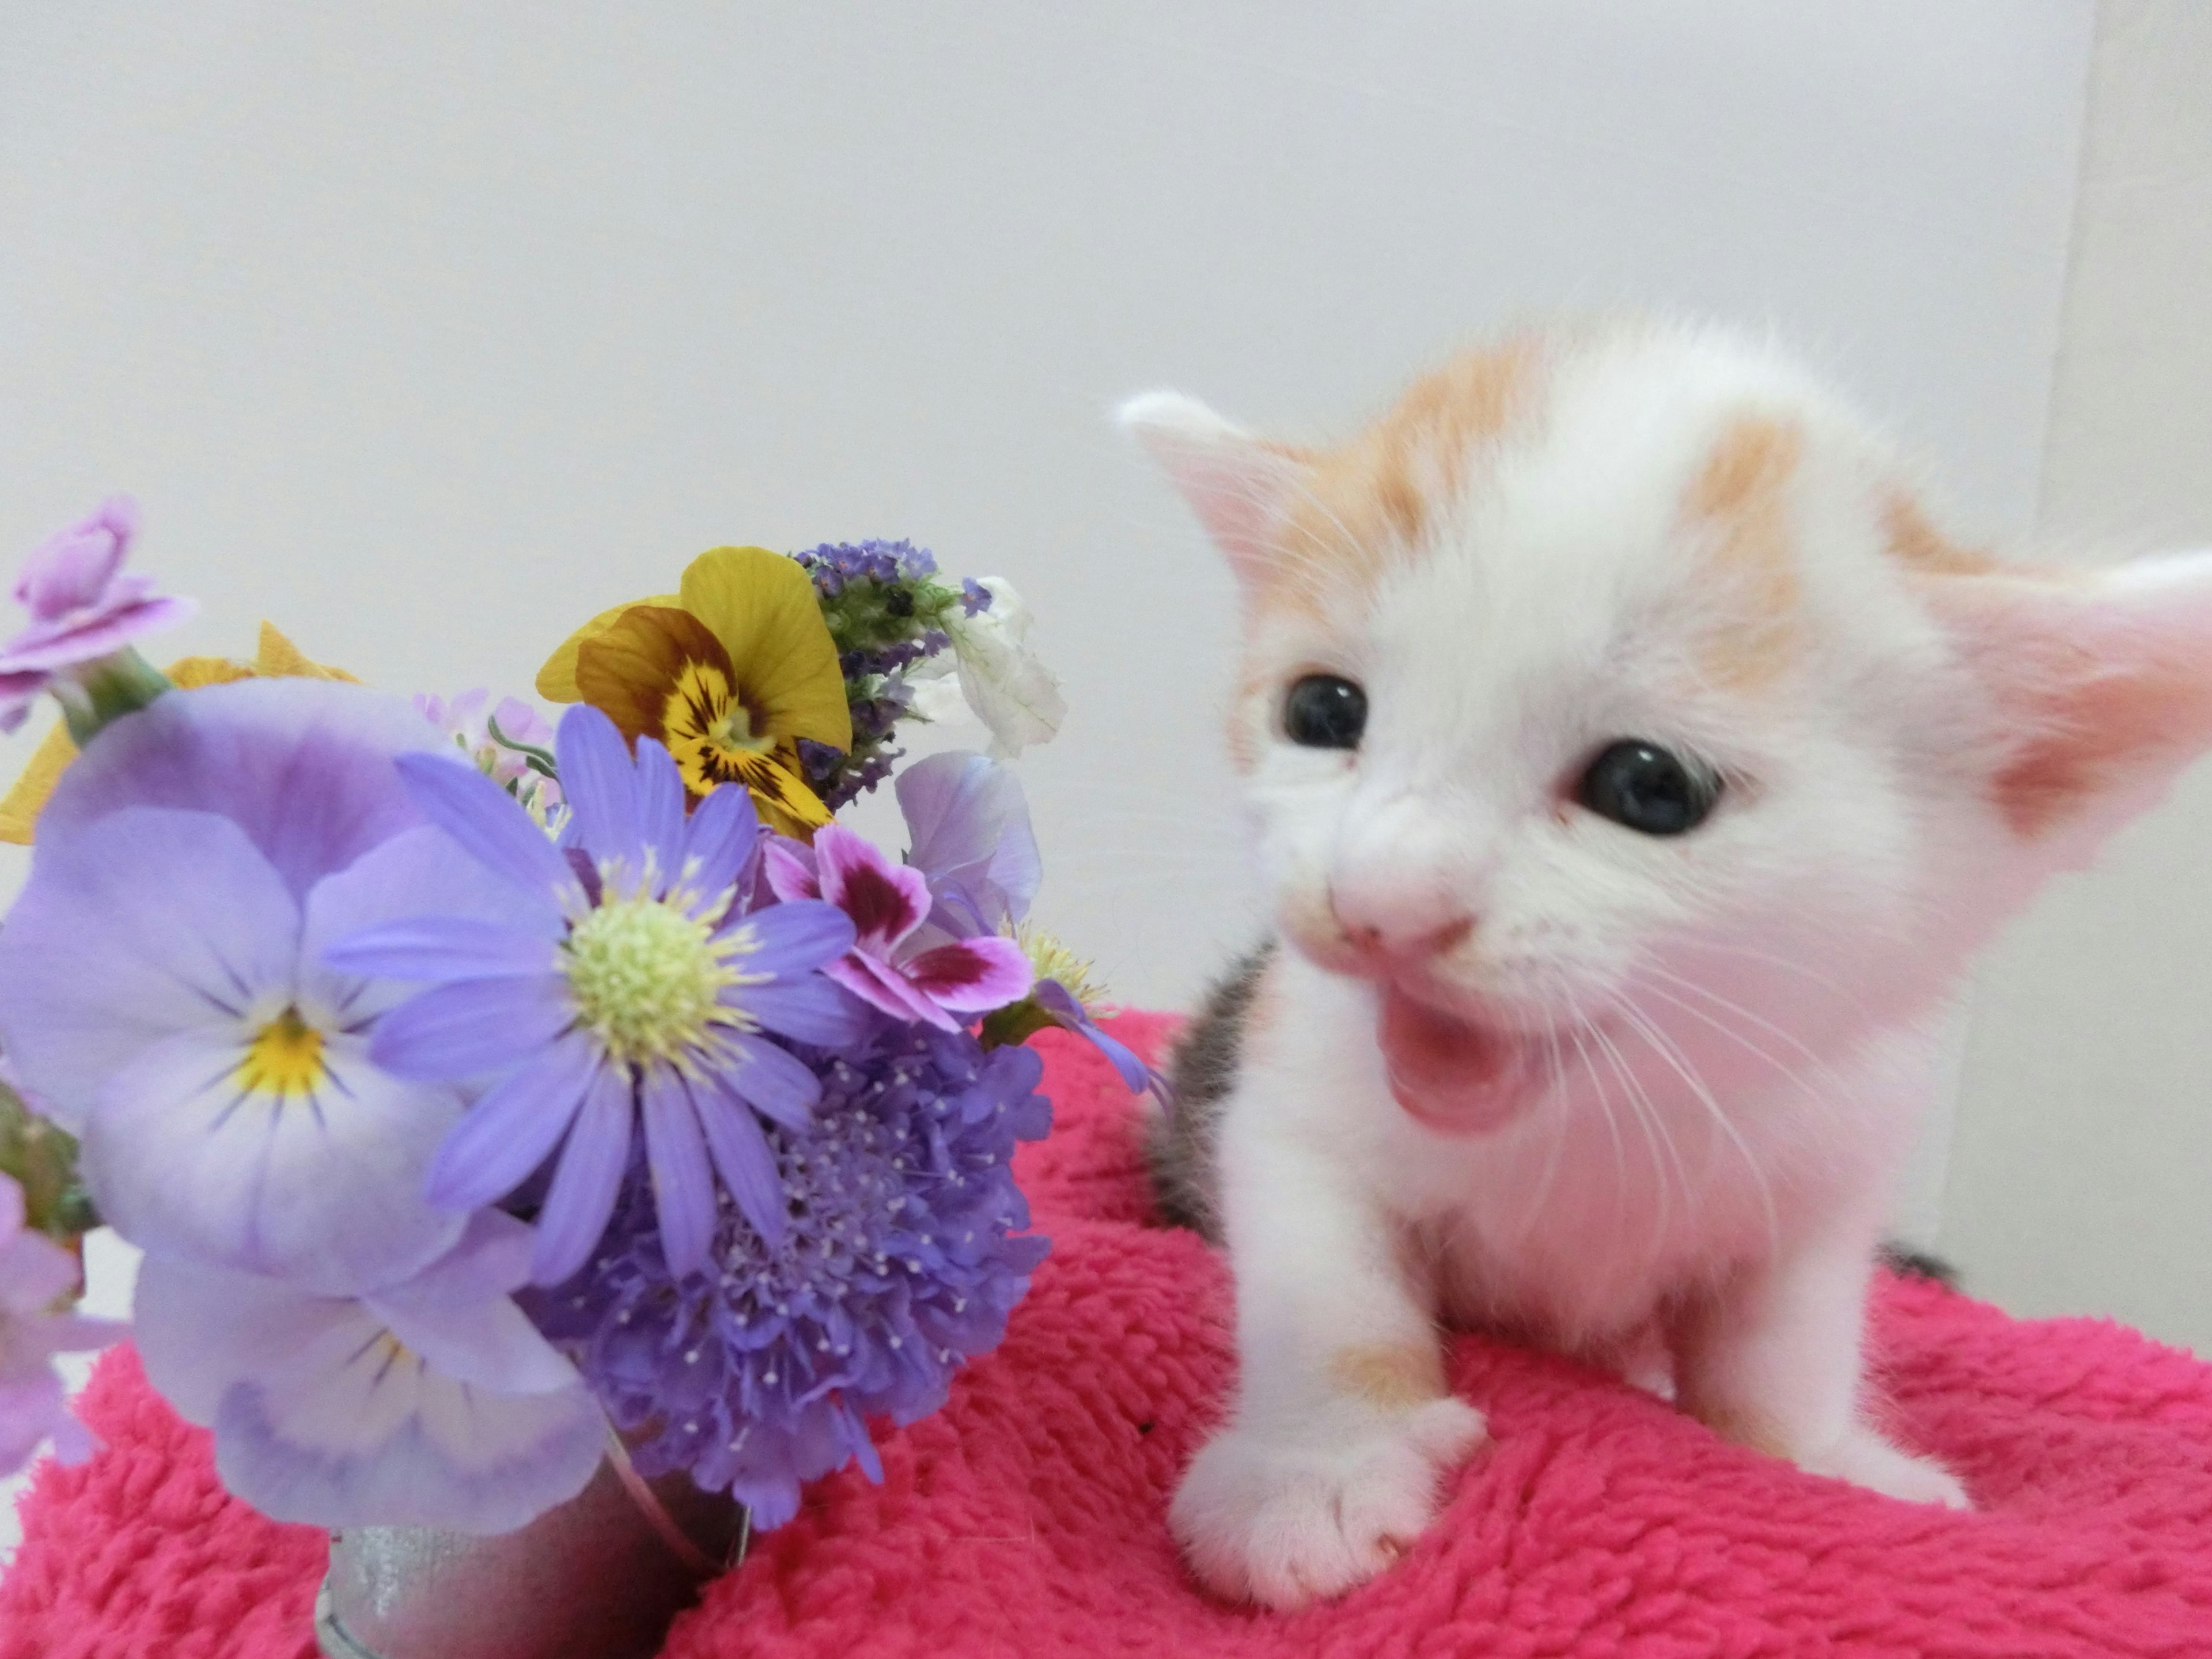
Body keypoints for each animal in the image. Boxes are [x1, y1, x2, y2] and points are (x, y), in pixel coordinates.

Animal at [1115, 320, 2212, 1610]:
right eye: (1324, 711)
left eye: (1649, 786)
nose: (1380, 908)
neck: (1597, 1115)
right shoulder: (1287, 1088)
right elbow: (1328, 1285)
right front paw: (1319, 1463)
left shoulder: (1832, 1150)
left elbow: (1783, 1346)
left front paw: (1818, 1459)